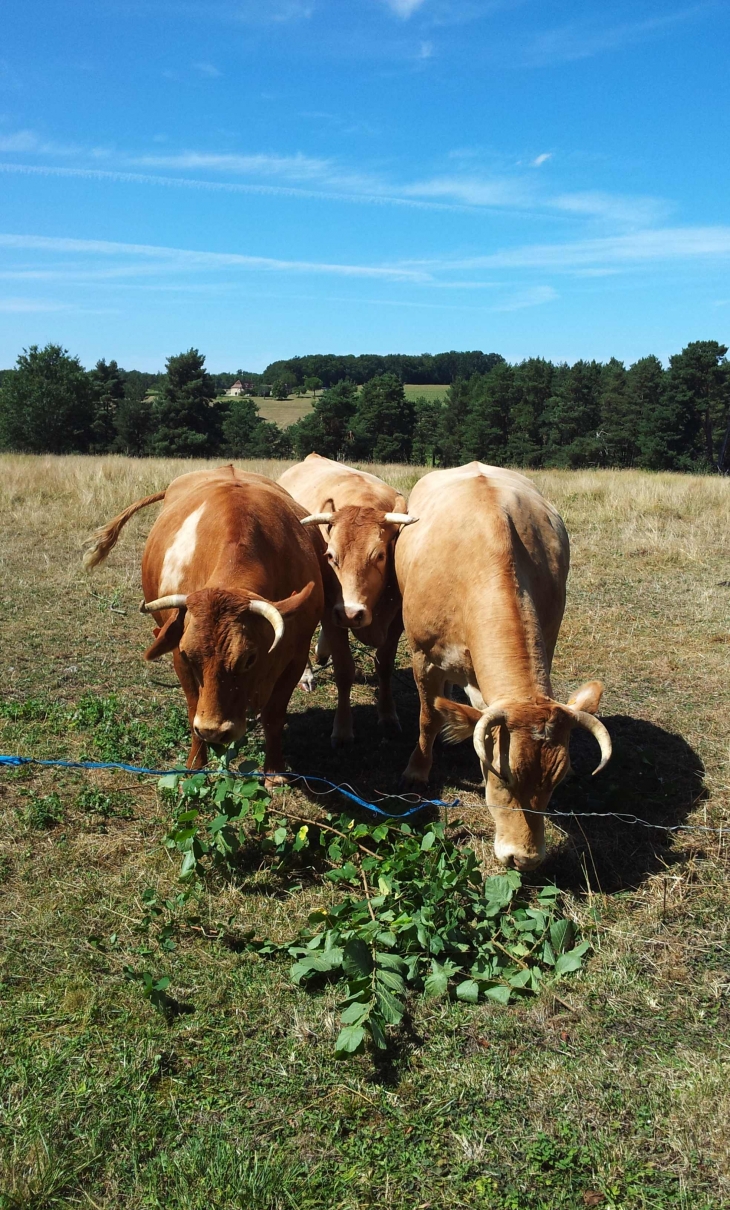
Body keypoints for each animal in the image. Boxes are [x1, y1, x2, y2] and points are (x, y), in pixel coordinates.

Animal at [84, 462, 324, 784]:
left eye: (249, 658)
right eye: (189, 654)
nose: (213, 731)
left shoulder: (295, 657)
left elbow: (275, 715)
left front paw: (274, 770)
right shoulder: (179, 656)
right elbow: (192, 708)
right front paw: (195, 764)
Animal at [279, 454, 416, 745]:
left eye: (379, 555)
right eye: (330, 555)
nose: (351, 613)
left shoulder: (395, 622)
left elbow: (384, 665)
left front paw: (388, 715)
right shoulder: (331, 612)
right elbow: (344, 671)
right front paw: (342, 728)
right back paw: (307, 673)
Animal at [394, 459, 610, 871]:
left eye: (558, 780)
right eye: (503, 777)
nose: (524, 858)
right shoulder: (422, 656)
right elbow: (428, 716)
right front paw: (416, 770)